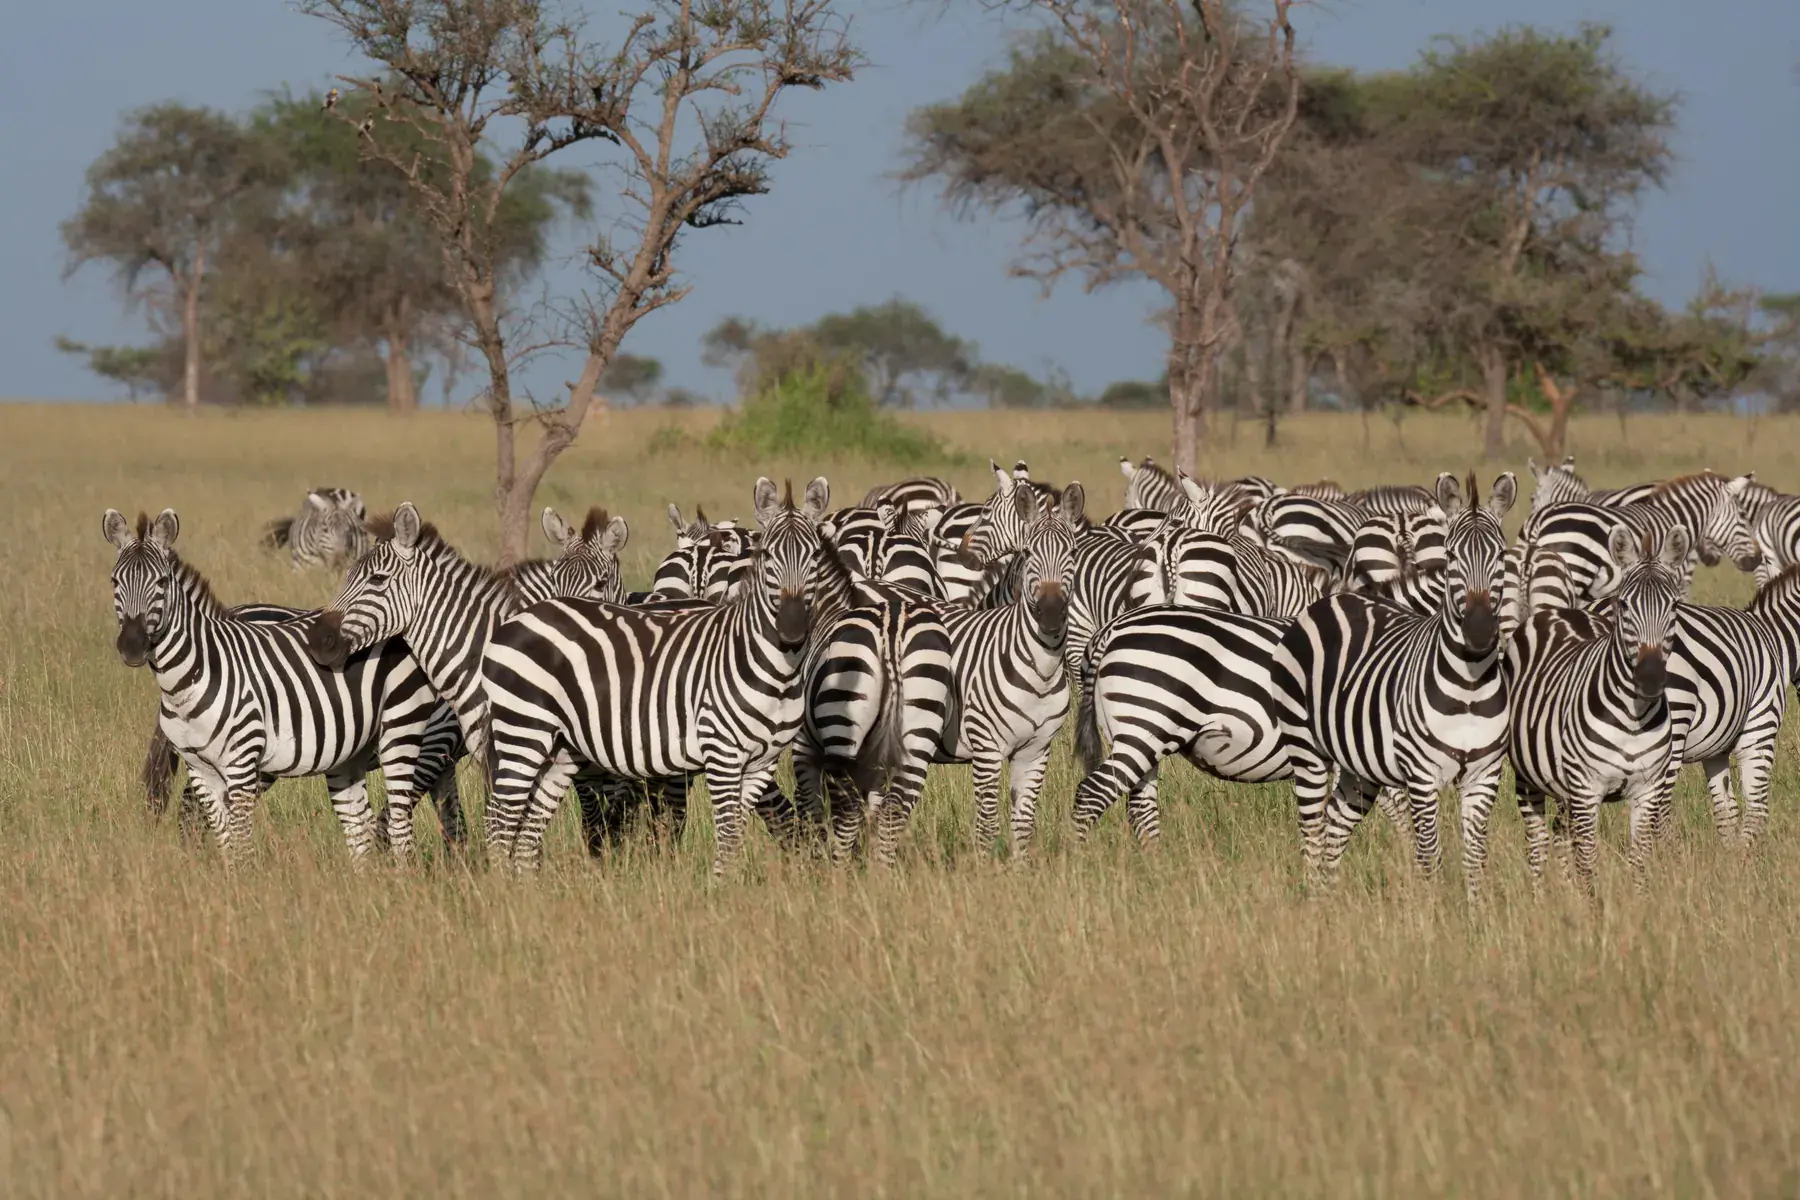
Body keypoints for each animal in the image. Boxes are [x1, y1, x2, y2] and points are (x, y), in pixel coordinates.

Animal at [481, 477, 833, 876]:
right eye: (768, 556)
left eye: (816, 557)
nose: (792, 630)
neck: (775, 671)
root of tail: (518, 620)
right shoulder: (722, 754)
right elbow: (725, 834)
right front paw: (719, 887)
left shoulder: (762, 763)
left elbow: (734, 833)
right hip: (524, 729)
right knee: (500, 819)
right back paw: (504, 886)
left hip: (562, 747)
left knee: (529, 825)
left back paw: (527, 888)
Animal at [936, 483, 1084, 855]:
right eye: (1028, 552)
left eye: (1073, 552)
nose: (1050, 612)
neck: (1041, 671)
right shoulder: (986, 748)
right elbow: (987, 826)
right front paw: (985, 869)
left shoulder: (1035, 752)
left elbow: (1023, 824)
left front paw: (1019, 868)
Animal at [1273, 471, 1517, 898]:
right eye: (1451, 557)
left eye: (1501, 556)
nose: (1479, 631)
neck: (1468, 688)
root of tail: (1332, 601)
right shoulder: (1421, 776)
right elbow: (1429, 855)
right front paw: (1433, 910)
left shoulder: (1484, 775)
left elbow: (1475, 860)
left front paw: (1476, 911)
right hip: (1307, 749)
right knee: (1313, 829)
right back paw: (1315, 901)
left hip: (1359, 766)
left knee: (1336, 821)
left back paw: (1331, 899)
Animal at [1506, 526, 1689, 894]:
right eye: (1624, 604)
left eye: (1674, 605)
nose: (1649, 678)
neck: (1633, 719)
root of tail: (1556, 611)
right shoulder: (1587, 790)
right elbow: (1587, 864)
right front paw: (1594, 907)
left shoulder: (1647, 790)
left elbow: (1638, 863)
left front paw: (1636, 902)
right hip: (1528, 778)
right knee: (1538, 843)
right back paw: (1539, 898)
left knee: (1560, 834)